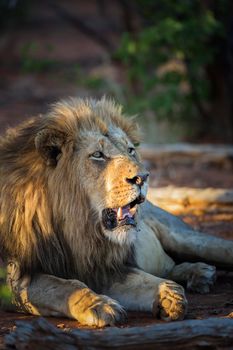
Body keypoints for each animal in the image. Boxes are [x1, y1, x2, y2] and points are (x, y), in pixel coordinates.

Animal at [0, 97, 233, 326]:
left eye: (130, 150)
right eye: (98, 155)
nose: (142, 177)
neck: (77, 229)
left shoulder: (105, 267)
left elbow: (144, 280)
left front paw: (169, 296)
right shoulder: (16, 279)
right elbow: (65, 286)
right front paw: (99, 305)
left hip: (185, 239)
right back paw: (199, 273)